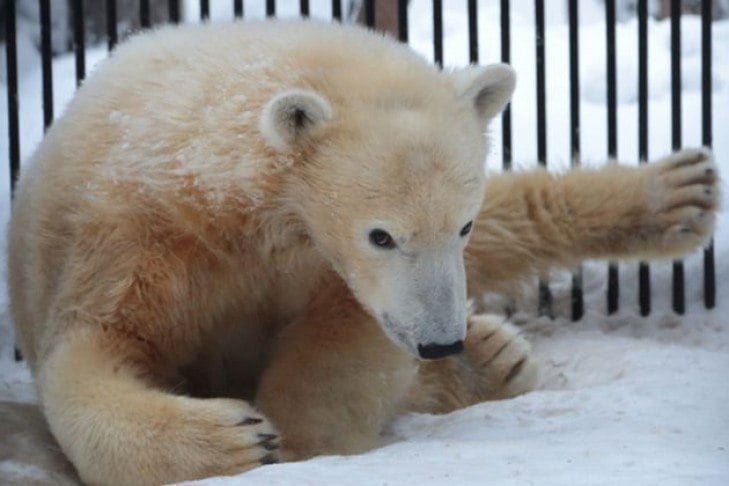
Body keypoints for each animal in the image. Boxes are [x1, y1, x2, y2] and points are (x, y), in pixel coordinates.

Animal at [7, 19, 716, 486]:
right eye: (381, 234)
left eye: (460, 225)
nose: (441, 341)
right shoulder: (134, 242)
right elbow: (96, 347)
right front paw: (238, 437)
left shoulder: (332, 270)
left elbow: (348, 339)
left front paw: (304, 442)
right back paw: (490, 359)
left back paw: (677, 196)